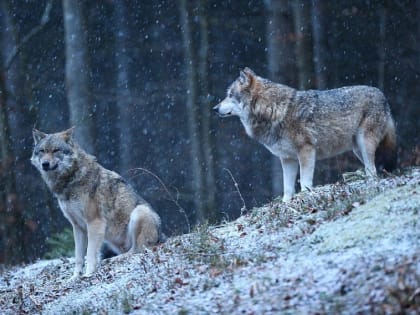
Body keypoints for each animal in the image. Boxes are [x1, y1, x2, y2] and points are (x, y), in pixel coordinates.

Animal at [30, 127, 162, 280]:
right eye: (42, 151)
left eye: (56, 150)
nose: (45, 164)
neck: (71, 179)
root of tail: (161, 236)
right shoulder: (77, 227)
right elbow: (79, 256)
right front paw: (74, 278)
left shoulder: (94, 222)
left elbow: (90, 253)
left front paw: (88, 274)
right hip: (110, 240)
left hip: (139, 212)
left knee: (137, 250)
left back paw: (114, 259)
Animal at [215, 68, 396, 204]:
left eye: (230, 95)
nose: (214, 108)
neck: (273, 109)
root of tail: (382, 94)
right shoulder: (287, 159)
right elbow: (287, 188)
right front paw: (286, 204)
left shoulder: (306, 150)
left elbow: (305, 180)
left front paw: (306, 196)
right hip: (357, 149)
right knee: (371, 169)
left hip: (364, 144)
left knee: (372, 171)